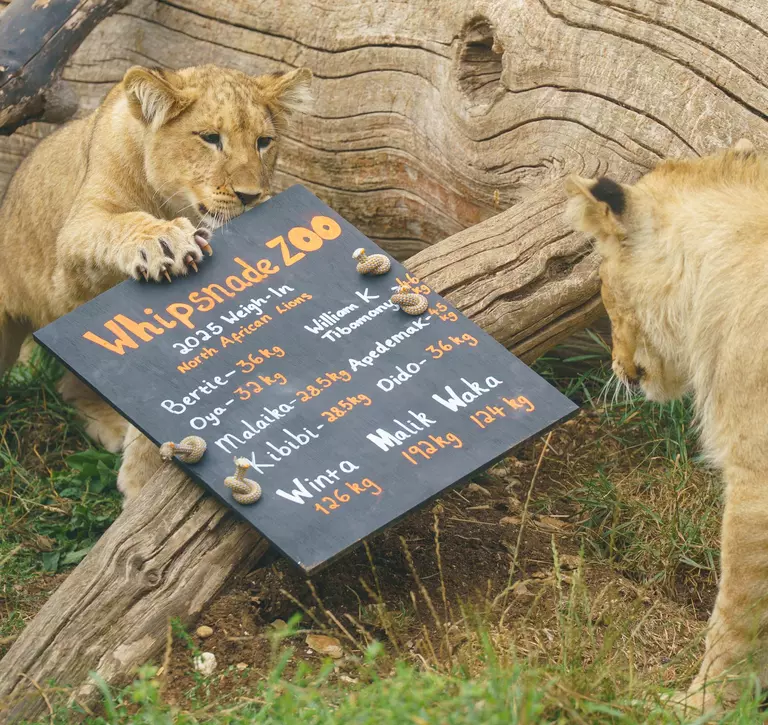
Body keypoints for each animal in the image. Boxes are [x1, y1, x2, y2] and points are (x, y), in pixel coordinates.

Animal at [0, 64, 312, 499]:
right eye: (210, 138)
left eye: (264, 142)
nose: (252, 197)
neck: (171, 203)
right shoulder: (71, 253)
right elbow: (121, 224)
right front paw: (164, 240)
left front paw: (142, 477)